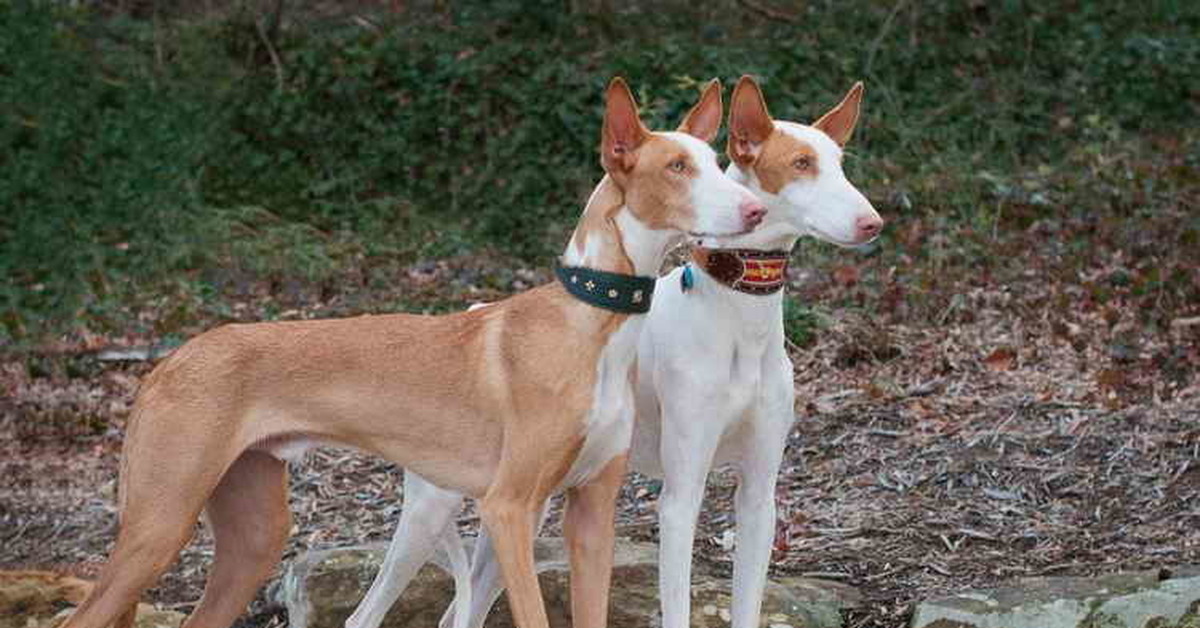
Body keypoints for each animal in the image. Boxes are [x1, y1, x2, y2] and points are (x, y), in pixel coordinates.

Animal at [60, 77, 763, 628]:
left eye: (714, 160)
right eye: (677, 168)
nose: (756, 209)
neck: (592, 321)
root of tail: (170, 360)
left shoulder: (591, 513)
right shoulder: (509, 509)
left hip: (252, 537)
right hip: (159, 522)